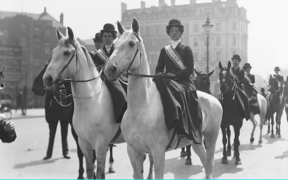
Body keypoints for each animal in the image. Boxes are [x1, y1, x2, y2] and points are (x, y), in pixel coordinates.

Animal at [42, 27, 127, 179]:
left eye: (66, 52)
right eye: (53, 52)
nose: (47, 79)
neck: (89, 102)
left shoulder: (101, 145)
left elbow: (99, 173)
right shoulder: (83, 143)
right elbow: (89, 170)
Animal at [103, 17, 223, 179]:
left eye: (131, 43)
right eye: (114, 44)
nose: (110, 69)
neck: (140, 108)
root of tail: (214, 99)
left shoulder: (158, 152)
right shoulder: (133, 151)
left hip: (211, 137)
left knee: (209, 163)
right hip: (196, 140)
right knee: (205, 162)